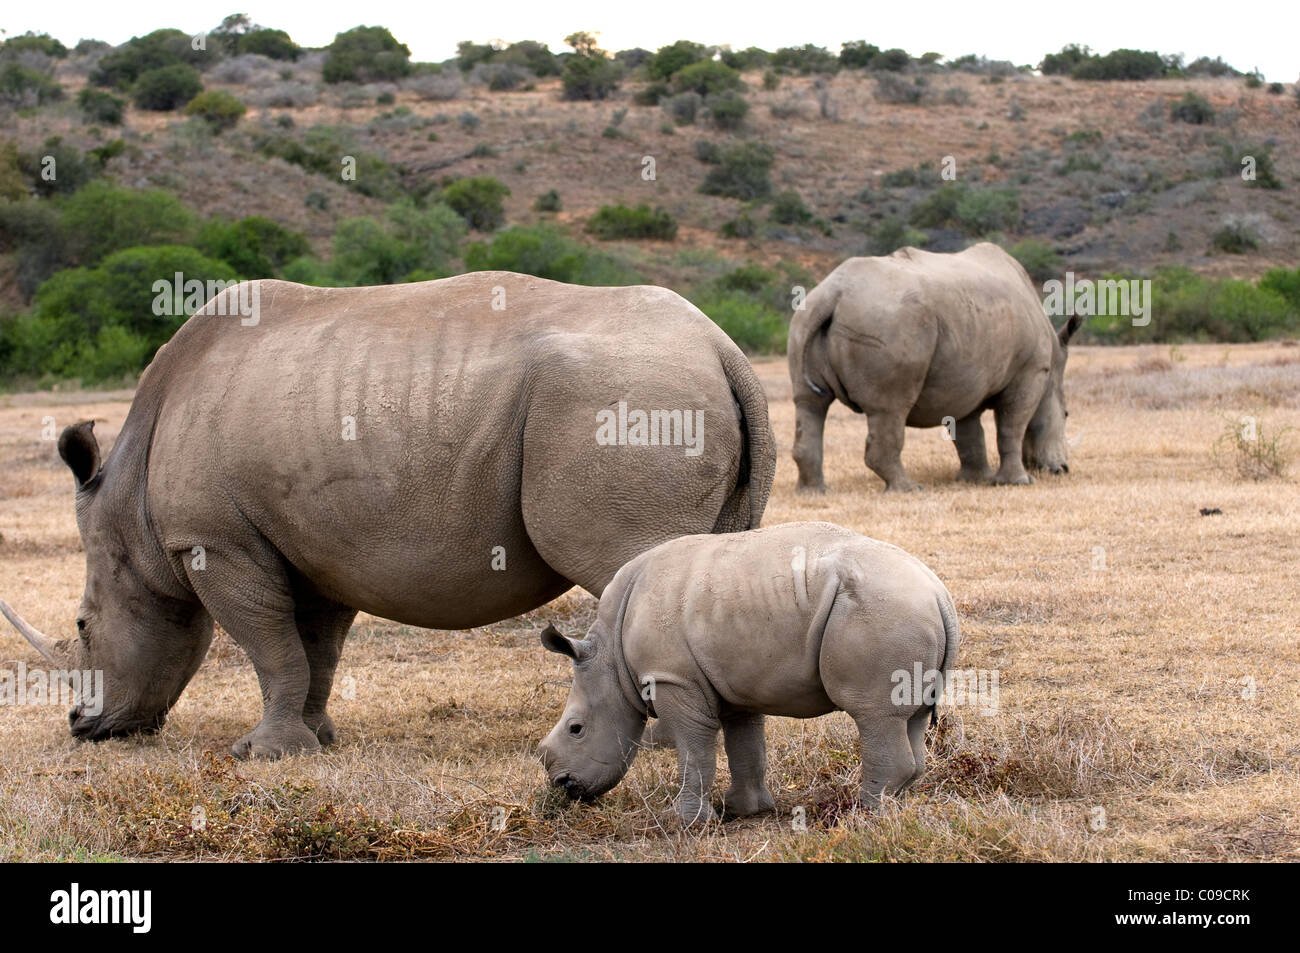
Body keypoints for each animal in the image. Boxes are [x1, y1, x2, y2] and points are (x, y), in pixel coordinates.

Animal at [0, 273, 769, 759]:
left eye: (82, 626)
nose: (81, 725)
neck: (130, 507)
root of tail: (722, 348)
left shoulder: (211, 541)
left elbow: (267, 641)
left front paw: (257, 754)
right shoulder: (312, 545)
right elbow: (313, 649)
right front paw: (315, 742)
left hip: (625, 400)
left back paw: (661, 743)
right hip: (660, 393)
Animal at [535, 520, 956, 826]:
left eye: (576, 729)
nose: (563, 785)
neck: (610, 658)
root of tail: (939, 594)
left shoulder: (673, 678)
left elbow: (695, 748)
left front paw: (684, 823)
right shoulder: (735, 680)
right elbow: (746, 744)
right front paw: (744, 811)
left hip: (884, 613)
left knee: (873, 715)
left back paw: (862, 817)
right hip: (902, 613)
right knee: (912, 717)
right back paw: (894, 810)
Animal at [785, 241, 1081, 494]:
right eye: (1067, 414)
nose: (1062, 469)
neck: (1053, 365)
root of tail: (835, 294)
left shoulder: (966, 378)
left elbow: (969, 433)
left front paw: (976, 480)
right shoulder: (1030, 371)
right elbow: (1012, 425)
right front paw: (1018, 482)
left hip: (806, 318)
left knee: (810, 403)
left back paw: (814, 492)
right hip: (891, 322)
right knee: (890, 408)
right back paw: (908, 489)